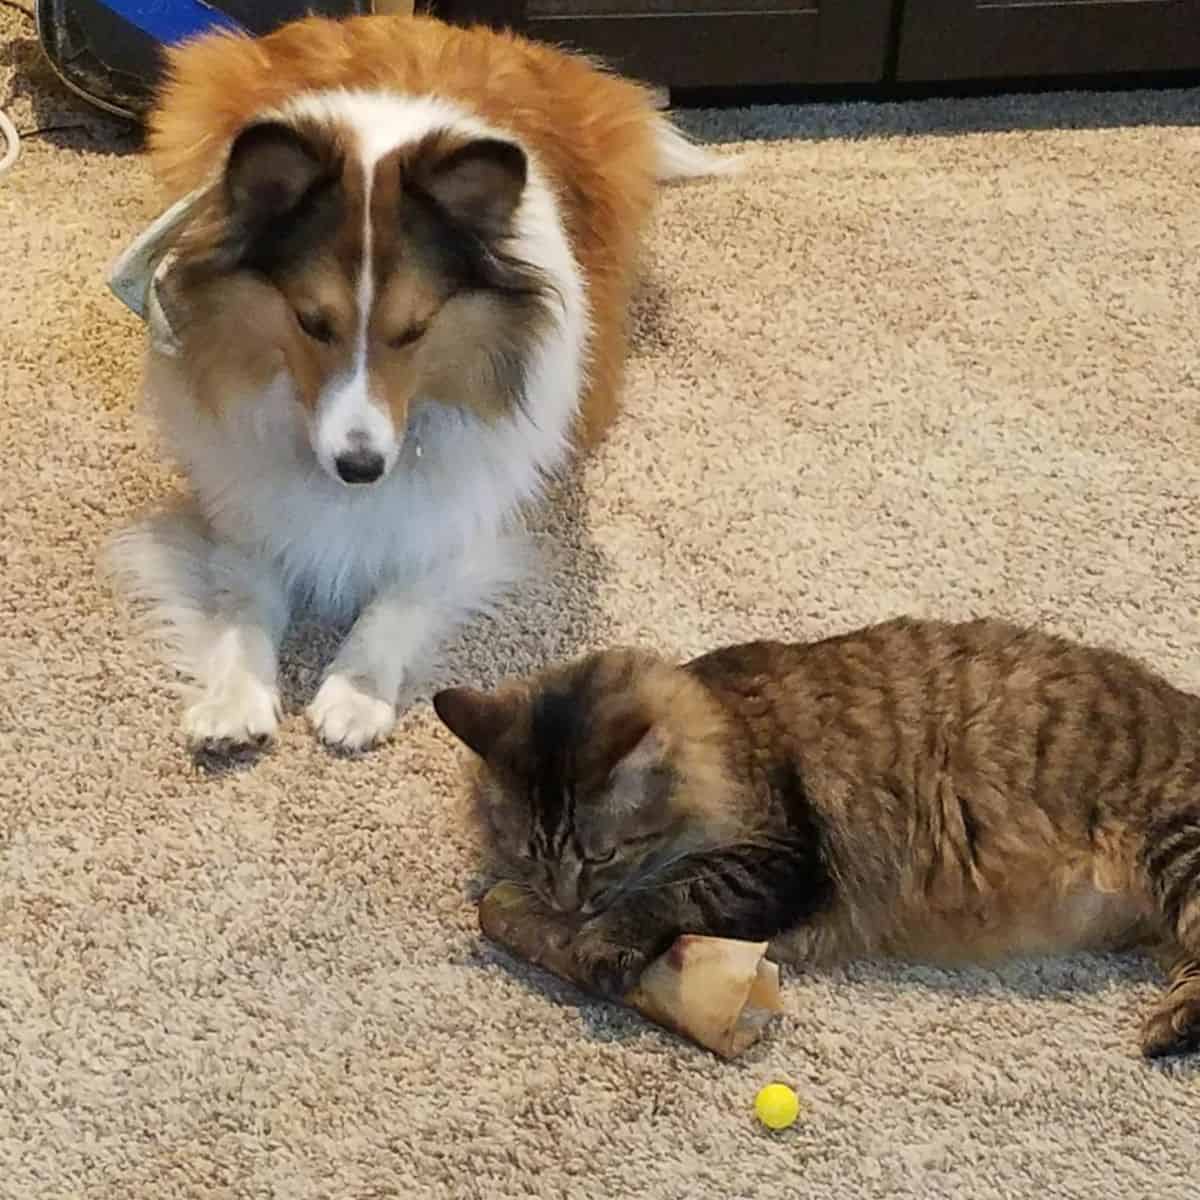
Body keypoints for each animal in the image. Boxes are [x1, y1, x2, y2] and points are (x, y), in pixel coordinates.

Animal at [108, 14, 729, 753]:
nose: (360, 468)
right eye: (311, 322)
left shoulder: (480, 507)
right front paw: (235, 697)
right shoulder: (240, 502)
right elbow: (245, 597)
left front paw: (355, 692)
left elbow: (403, 592)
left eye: (415, 330)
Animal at [432, 619, 1200, 1060]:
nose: (567, 905)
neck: (721, 734)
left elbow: (671, 890)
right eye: (532, 855)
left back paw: (1172, 1030)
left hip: (1179, 849)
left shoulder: (779, 856)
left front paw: (602, 942)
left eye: (602, 855)